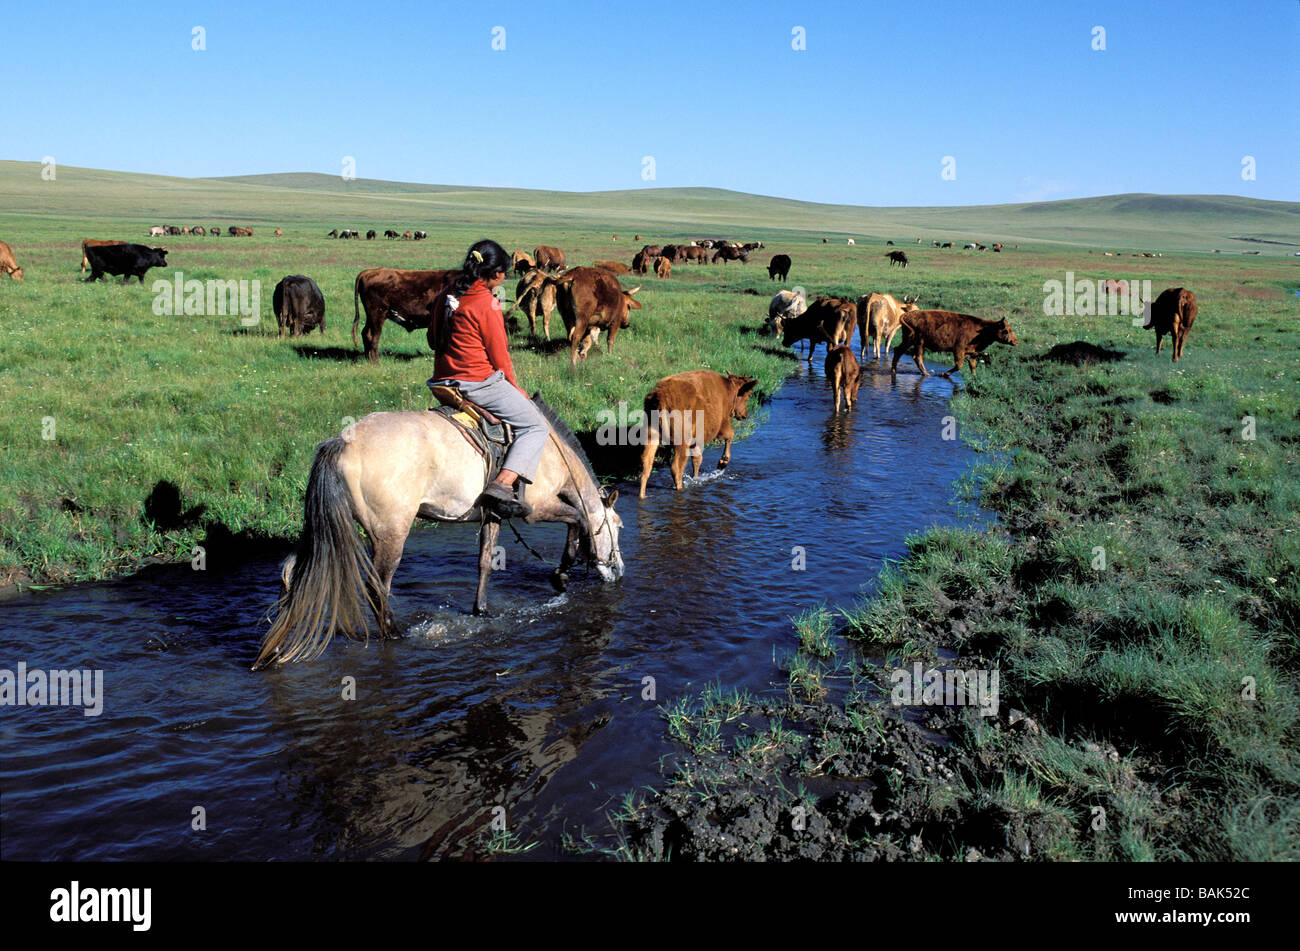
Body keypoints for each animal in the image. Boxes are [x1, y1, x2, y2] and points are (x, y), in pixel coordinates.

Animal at [252, 397, 624, 668]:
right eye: (618, 527)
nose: (619, 570)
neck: (548, 451)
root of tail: (343, 442)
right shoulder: (537, 508)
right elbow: (577, 518)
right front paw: (561, 576)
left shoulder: (493, 515)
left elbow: (485, 563)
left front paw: (481, 611)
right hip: (390, 534)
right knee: (377, 587)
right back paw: (395, 635)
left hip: (324, 528)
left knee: (291, 572)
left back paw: (275, 647)